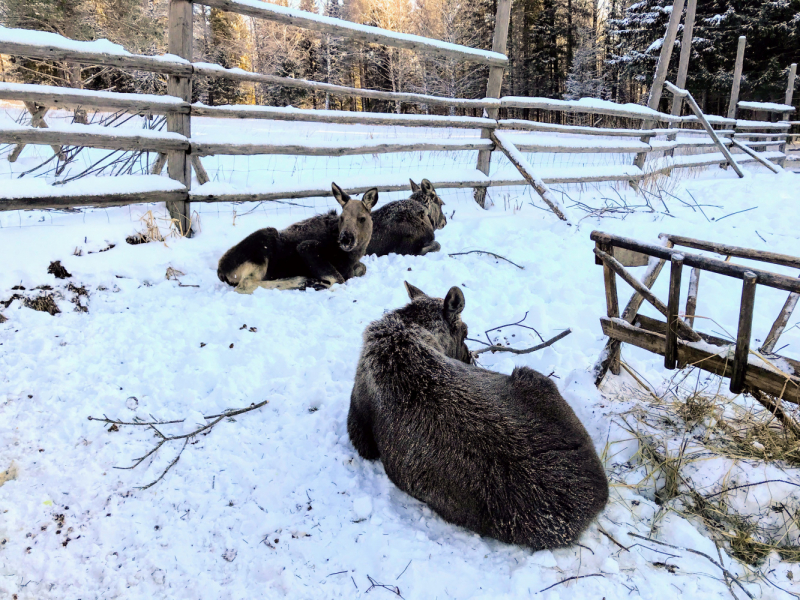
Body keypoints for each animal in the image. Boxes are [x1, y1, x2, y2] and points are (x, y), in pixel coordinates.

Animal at [216, 184, 378, 294]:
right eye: (342, 218)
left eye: (362, 218)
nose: (345, 239)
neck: (353, 255)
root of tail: (221, 271)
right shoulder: (306, 247)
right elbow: (338, 279)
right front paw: (320, 283)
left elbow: (361, 268)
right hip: (264, 243)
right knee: (245, 285)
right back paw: (303, 281)